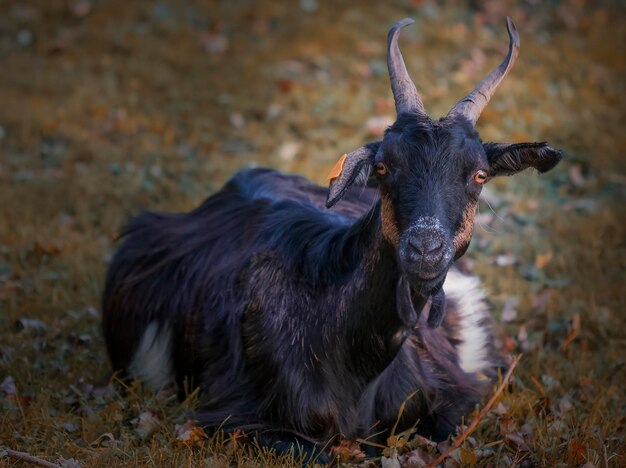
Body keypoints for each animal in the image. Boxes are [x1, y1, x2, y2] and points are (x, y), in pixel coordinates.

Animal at [102, 17, 560, 460]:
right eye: (382, 166)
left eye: (480, 174)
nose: (425, 249)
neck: (352, 359)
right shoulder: (232, 418)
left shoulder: (452, 394)